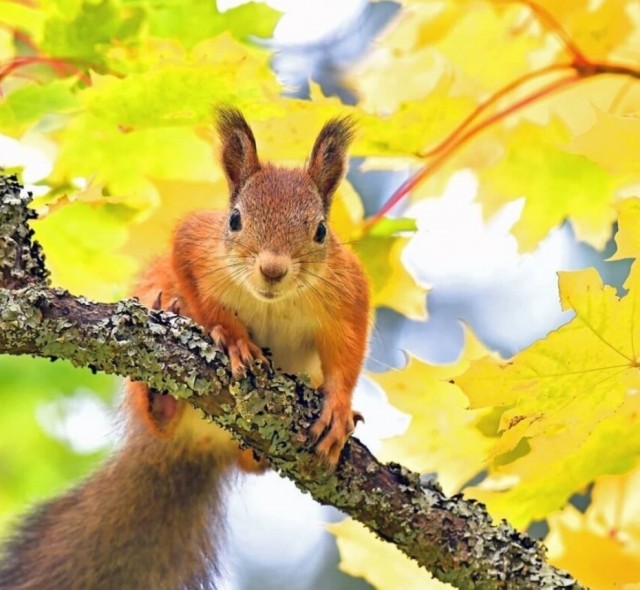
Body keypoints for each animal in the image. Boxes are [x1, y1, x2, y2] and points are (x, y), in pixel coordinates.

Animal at [0, 107, 370, 590]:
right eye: (234, 220)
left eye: (321, 230)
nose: (272, 270)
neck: (273, 300)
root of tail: (191, 449)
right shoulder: (196, 244)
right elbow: (202, 293)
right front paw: (232, 338)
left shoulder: (348, 293)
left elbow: (348, 354)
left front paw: (339, 409)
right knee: (157, 417)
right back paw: (161, 388)